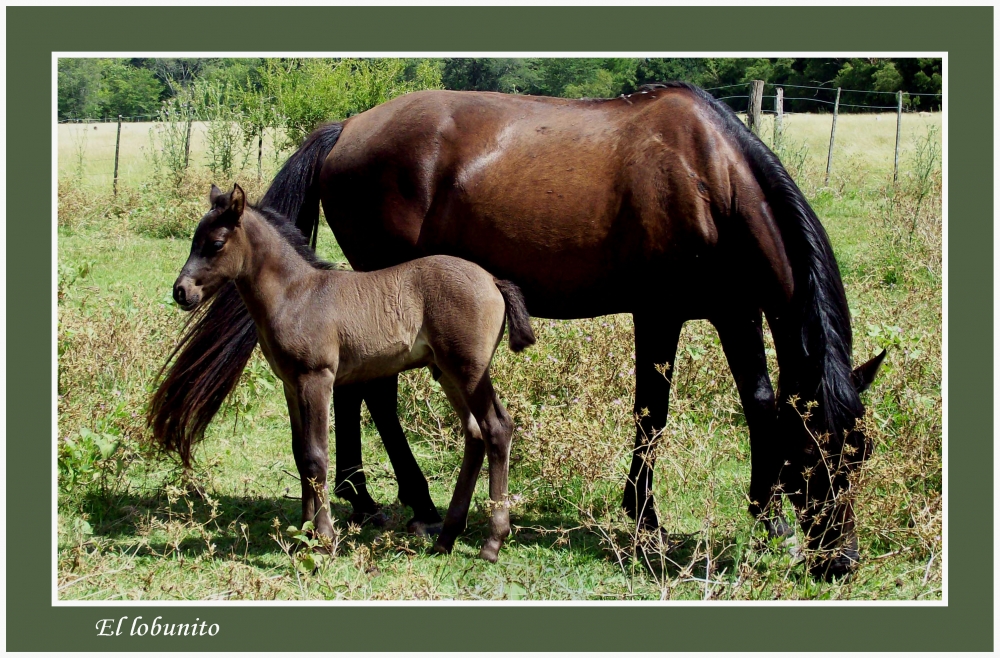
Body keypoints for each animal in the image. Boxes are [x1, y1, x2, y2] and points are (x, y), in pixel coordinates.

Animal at [163, 182, 536, 560]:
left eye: (215, 244)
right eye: (194, 239)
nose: (181, 291)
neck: (294, 295)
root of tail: (493, 280)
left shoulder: (317, 378)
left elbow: (316, 456)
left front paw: (325, 537)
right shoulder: (290, 384)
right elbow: (300, 454)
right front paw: (305, 531)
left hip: (469, 369)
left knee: (497, 428)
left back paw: (492, 541)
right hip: (446, 371)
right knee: (474, 433)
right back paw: (446, 537)